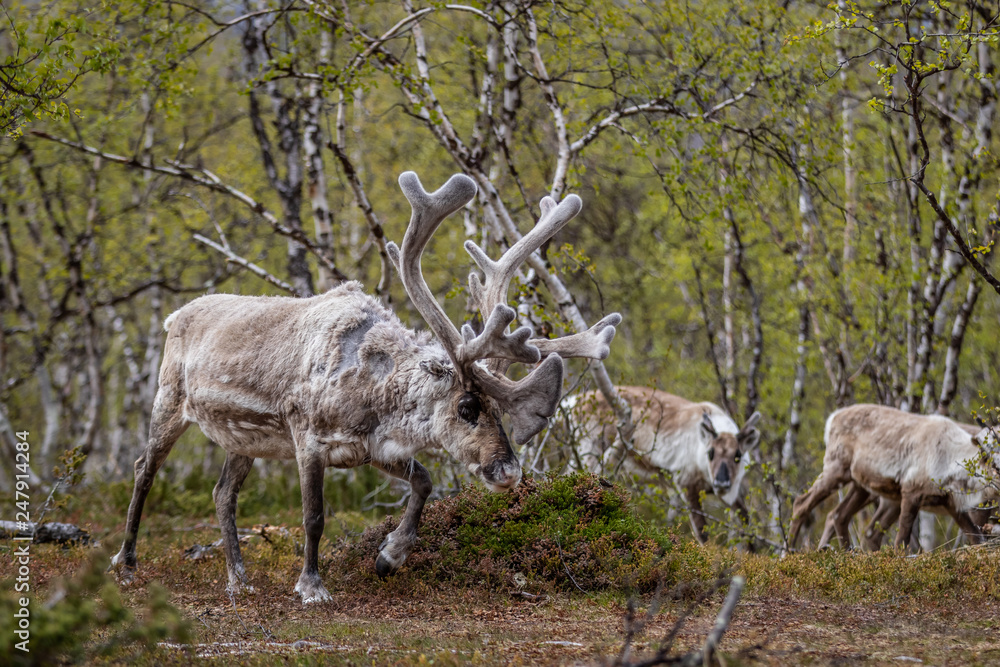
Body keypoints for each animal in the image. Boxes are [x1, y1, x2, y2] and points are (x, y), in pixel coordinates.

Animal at [110, 171, 621, 603]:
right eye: (467, 407)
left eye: (499, 411)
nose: (509, 472)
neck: (373, 392)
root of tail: (175, 314)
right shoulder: (308, 439)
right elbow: (314, 516)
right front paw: (312, 586)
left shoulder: (372, 448)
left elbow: (424, 481)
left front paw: (390, 556)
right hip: (169, 401)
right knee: (143, 470)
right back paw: (127, 563)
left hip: (245, 439)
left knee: (222, 493)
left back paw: (238, 578)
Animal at [566, 387, 761, 544]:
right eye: (711, 452)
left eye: (738, 455)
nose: (721, 483)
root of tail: (575, 402)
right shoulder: (686, 484)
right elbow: (702, 533)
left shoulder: (734, 492)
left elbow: (746, 523)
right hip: (589, 450)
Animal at [789, 404, 998, 552]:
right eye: (993, 464)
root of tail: (833, 418)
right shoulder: (911, 492)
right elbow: (901, 543)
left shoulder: (952, 504)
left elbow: (976, 538)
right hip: (837, 470)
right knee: (801, 503)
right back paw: (789, 552)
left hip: (862, 486)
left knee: (839, 515)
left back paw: (846, 551)